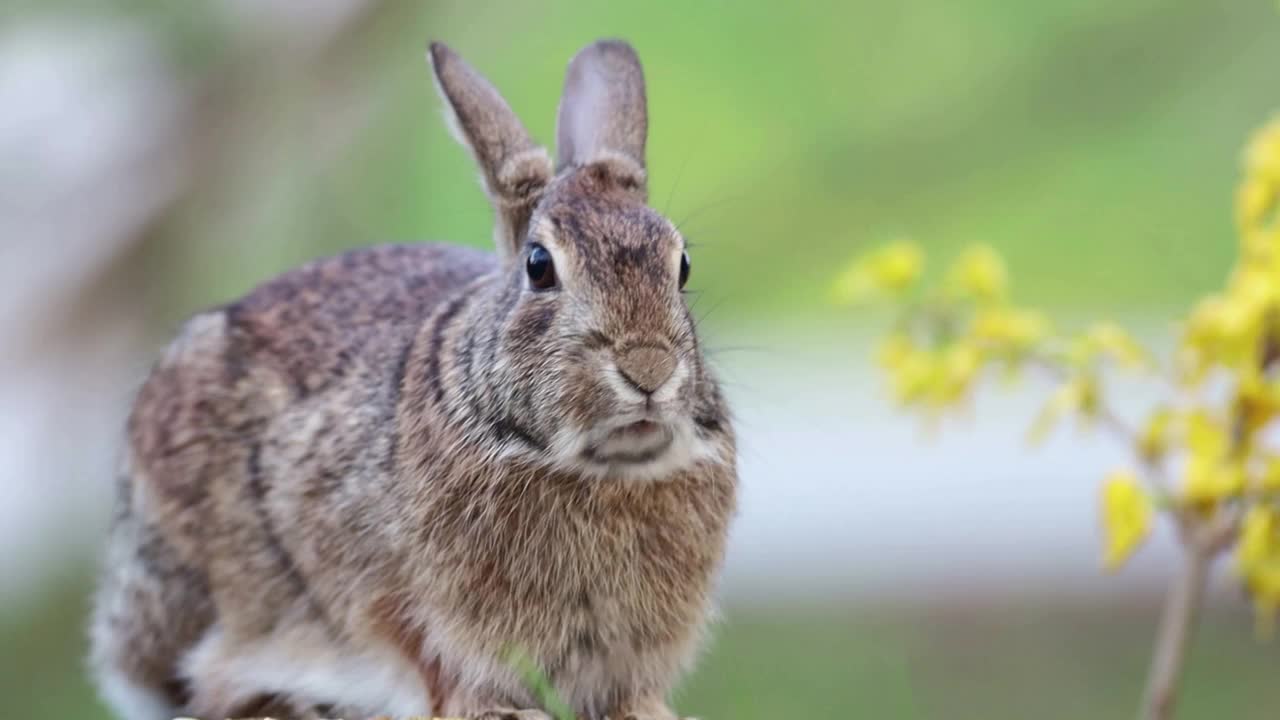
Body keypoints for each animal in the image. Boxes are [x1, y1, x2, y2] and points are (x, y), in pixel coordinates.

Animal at [90, 39, 737, 717]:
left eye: (681, 266)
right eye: (539, 266)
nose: (649, 369)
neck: (602, 469)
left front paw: (650, 711)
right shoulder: (398, 599)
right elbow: (428, 659)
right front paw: (499, 711)